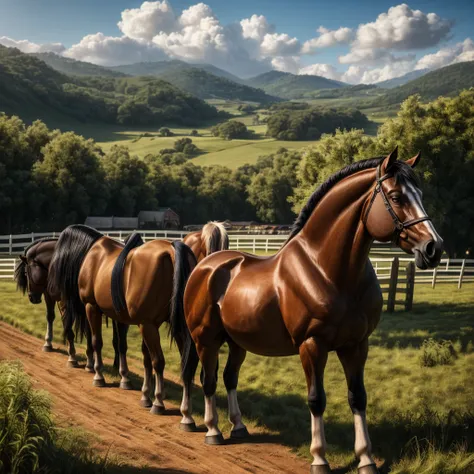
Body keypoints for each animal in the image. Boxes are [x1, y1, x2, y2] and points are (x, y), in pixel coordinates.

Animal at [15, 237, 129, 374]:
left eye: (26, 273)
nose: (31, 297)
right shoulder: (60, 300)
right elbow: (56, 320)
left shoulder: (74, 305)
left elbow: (73, 329)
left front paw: (74, 358)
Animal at [48, 224, 196, 412]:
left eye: (57, 259)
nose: (51, 289)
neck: (92, 255)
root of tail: (171, 249)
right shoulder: (120, 316)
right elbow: (122, 346)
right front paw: (125, 379)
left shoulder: (92, 307)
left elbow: (97, 342)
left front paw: (99, 376)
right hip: (174, 326)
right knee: (185, 366)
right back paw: (184, 412)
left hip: (149, 325)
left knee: (158, 361)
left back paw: (158, 402)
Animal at [180, 151, 442, 474]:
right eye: (395, 196)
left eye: (420, 194)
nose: (433, 248)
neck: (326, 269)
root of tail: (207, 265)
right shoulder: (312, 346)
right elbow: (316, 399)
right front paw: (319, 458)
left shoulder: (356, 345)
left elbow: (358, 397)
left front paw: (366, 459)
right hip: (205, 339)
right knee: (207, 379)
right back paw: (212, 430)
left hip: (237, 342)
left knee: (229, 378)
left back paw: (238, 427)